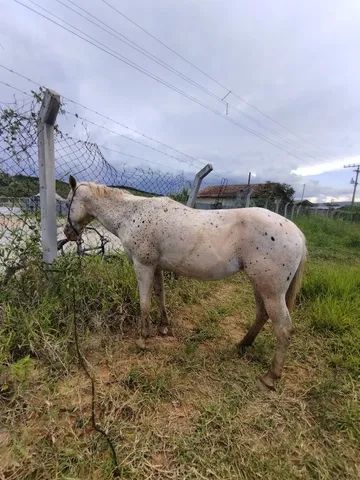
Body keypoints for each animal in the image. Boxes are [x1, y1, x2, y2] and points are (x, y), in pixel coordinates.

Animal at [64, 176, 306, 390]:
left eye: (67, 203)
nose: (68, 233)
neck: (131, 214)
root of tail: (298, 234)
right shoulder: (157, 267)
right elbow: (160, 295)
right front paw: (163, 327)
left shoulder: (143, 266)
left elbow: (144, 303)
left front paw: (143, 339)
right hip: (259, 285)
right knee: (262, 314)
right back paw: (242, 345)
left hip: (271, 290)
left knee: (283, 328)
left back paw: (270, 377)